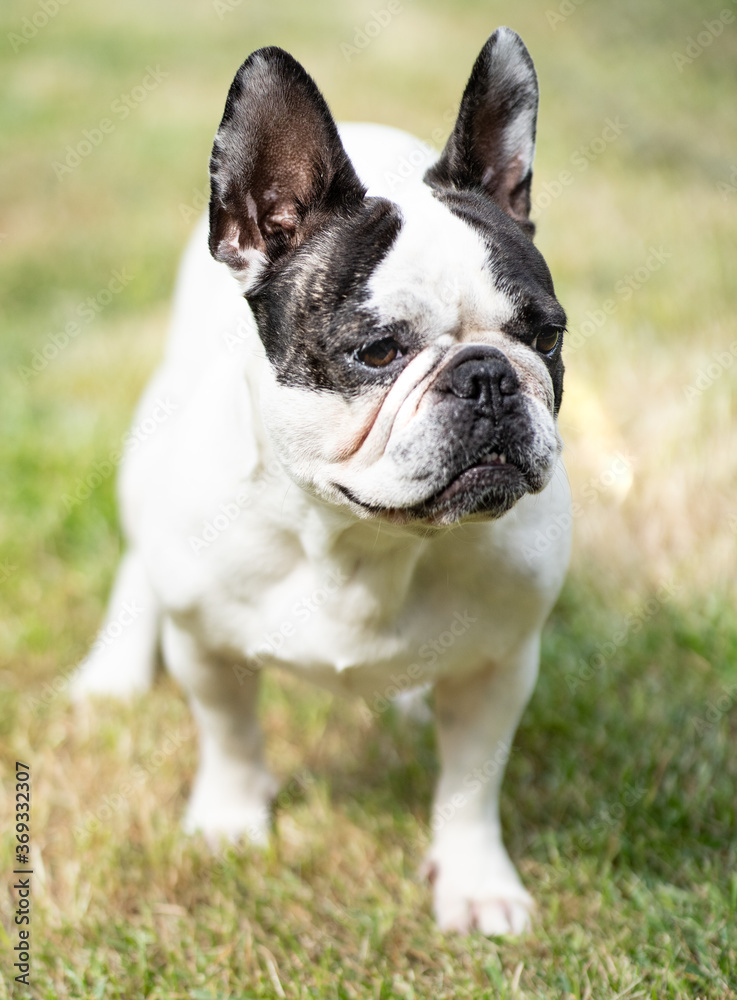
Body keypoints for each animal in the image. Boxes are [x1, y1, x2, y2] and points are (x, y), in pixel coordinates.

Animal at [73, 31, 568, 936]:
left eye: (544, 338)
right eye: (377, 352)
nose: (487, 376)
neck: (360, 540)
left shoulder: (500, 667)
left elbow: (469, 785)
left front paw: (475, 885)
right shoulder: (206, 647)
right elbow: (231, 738)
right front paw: (230, 824)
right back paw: (111, 672)